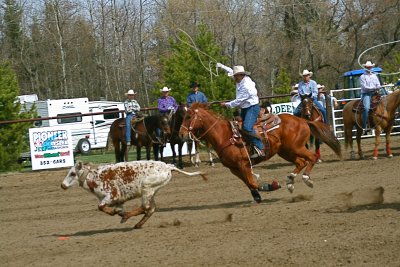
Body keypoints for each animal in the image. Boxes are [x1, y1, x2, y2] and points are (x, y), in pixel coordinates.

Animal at [62, 160, 208, 229]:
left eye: (72, 173)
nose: (62, 185)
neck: (94, 177)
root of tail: (168, 166)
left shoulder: (111, 196)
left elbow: (101, 207)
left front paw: (117, 214)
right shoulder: (119, 201)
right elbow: (117, 209)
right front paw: (119, 213)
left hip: (147, 188)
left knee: (146, 207)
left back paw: (129, 217)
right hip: (152, 191)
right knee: (151, 209)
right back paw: (137, 224)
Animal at [180, 103, 342, 204]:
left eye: (188, 117)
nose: (181, 135)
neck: (224, 135)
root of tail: (302, 120)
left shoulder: (243, 164)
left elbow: (252, 182)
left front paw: (271, 186)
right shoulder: (234, 169)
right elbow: (249, 184)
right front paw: (257, 196)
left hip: (296, 147)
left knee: (311, 157)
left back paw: (306, 179)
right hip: (286, 151)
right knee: (301, 162)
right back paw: (290, 181)